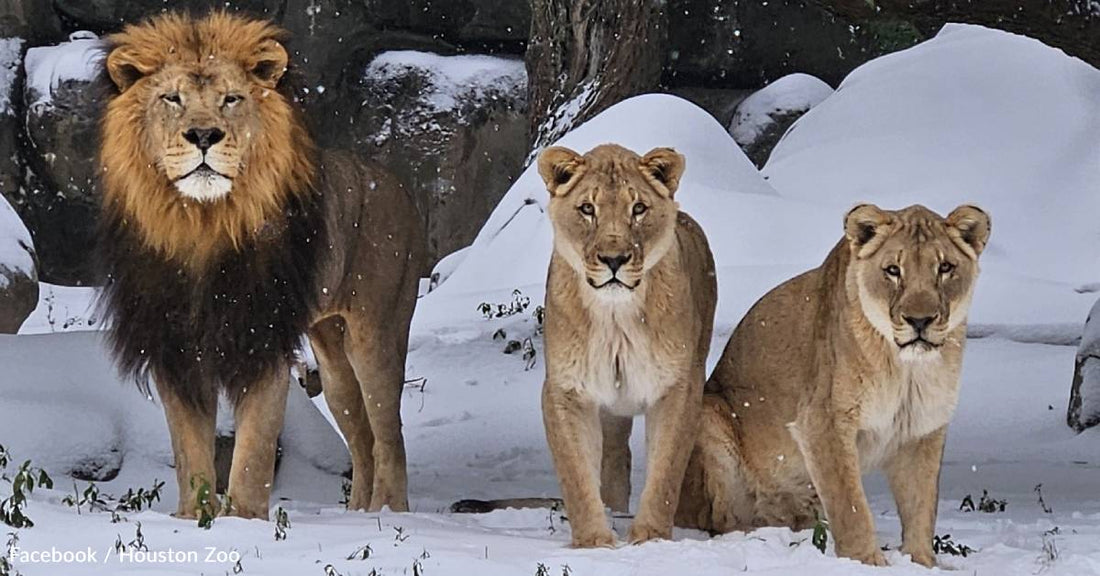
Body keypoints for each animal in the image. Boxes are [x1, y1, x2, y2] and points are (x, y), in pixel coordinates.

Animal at [100, 12, 424, 516]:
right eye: (172, 98)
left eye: (231, 99)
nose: (203, 135)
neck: (203, 226)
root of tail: (395, 182)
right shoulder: (176, 345)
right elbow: (189, 452)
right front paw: (192, 518)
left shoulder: (262, 336)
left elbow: (253, 450)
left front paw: (244, 520)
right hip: (331, 354)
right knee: (362, 436)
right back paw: (355, 515)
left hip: (377, 333)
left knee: (390, 436)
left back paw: (388, 515)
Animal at [536, 142, 717, 545]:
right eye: (588, 209)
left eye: (638, 208)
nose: (614, 259)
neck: (615, 317)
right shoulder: (566, 390)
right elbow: (576, 473)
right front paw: (594, 541)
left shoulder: (679, 386)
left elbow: (665, 470)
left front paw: (650, 537)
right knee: (614, 455)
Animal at [673, 202, 994, 567]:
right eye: (893, 270)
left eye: (945, 267)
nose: (920, 320)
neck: (907, 370)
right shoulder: (823, 420)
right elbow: (851, 505)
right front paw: (867, 562)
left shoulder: (922, 428)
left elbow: (922, 505)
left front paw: (922, 562)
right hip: (708, 412)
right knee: (718, 519)